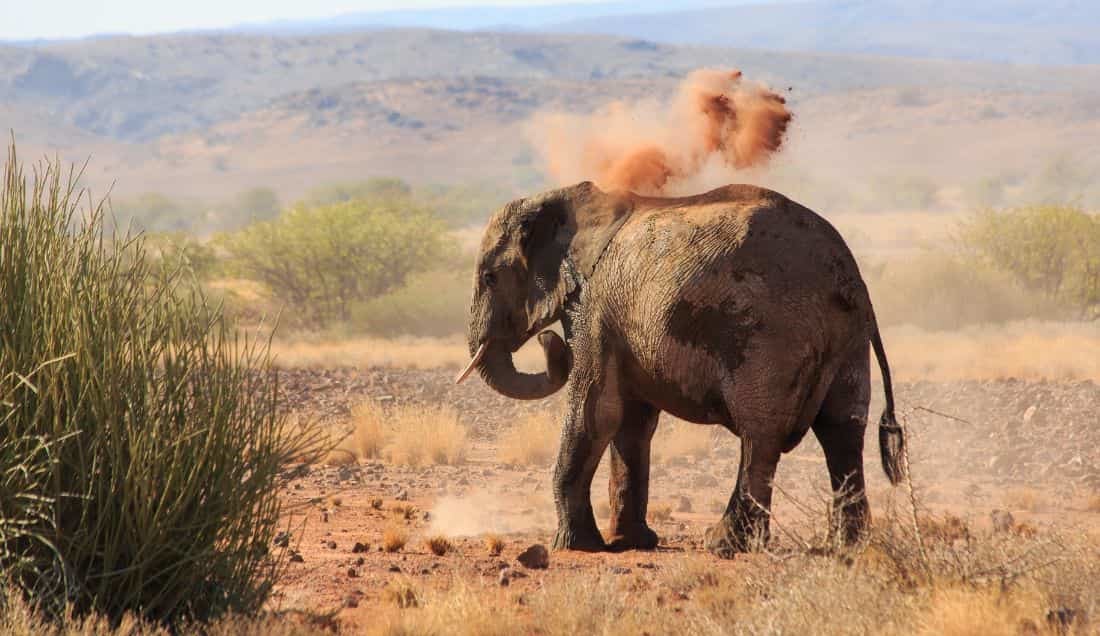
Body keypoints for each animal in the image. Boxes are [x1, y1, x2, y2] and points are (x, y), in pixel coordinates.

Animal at [457, 181, 905, 557]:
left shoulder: (595, 310)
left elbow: (595, 414)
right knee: (842, 432)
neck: (565, 200)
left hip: (770, 335)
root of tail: (851, 278)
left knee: (760, 435)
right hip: (847, 341)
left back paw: (726, 545)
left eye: (490, 277)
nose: (548, 343)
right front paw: (631, 543)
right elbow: (632, 424)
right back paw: (844, 548)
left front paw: (577, 546)